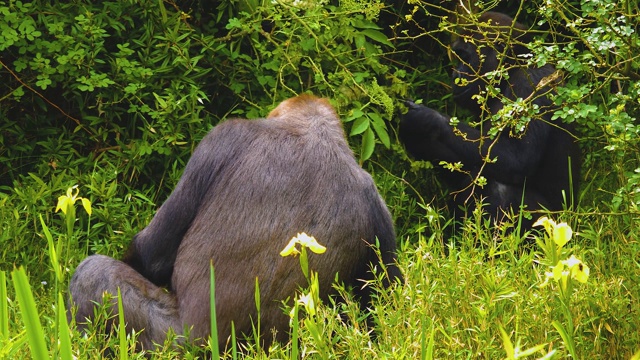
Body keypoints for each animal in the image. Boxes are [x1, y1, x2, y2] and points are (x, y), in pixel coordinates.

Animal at [69, 94, 400, 350]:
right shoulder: (378, 206)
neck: (314, 136)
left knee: (94, 273)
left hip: (177, 343)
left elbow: (152, 254)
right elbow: (385, 304)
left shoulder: (223, 138)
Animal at [402, 11, 584, 231]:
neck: (512, 70)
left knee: (502, 186)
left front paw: (427, 119)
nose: (456, 74)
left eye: (466, 58)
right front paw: (419, 139)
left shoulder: (529, 86)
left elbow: (517, 159)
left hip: (553, 223)